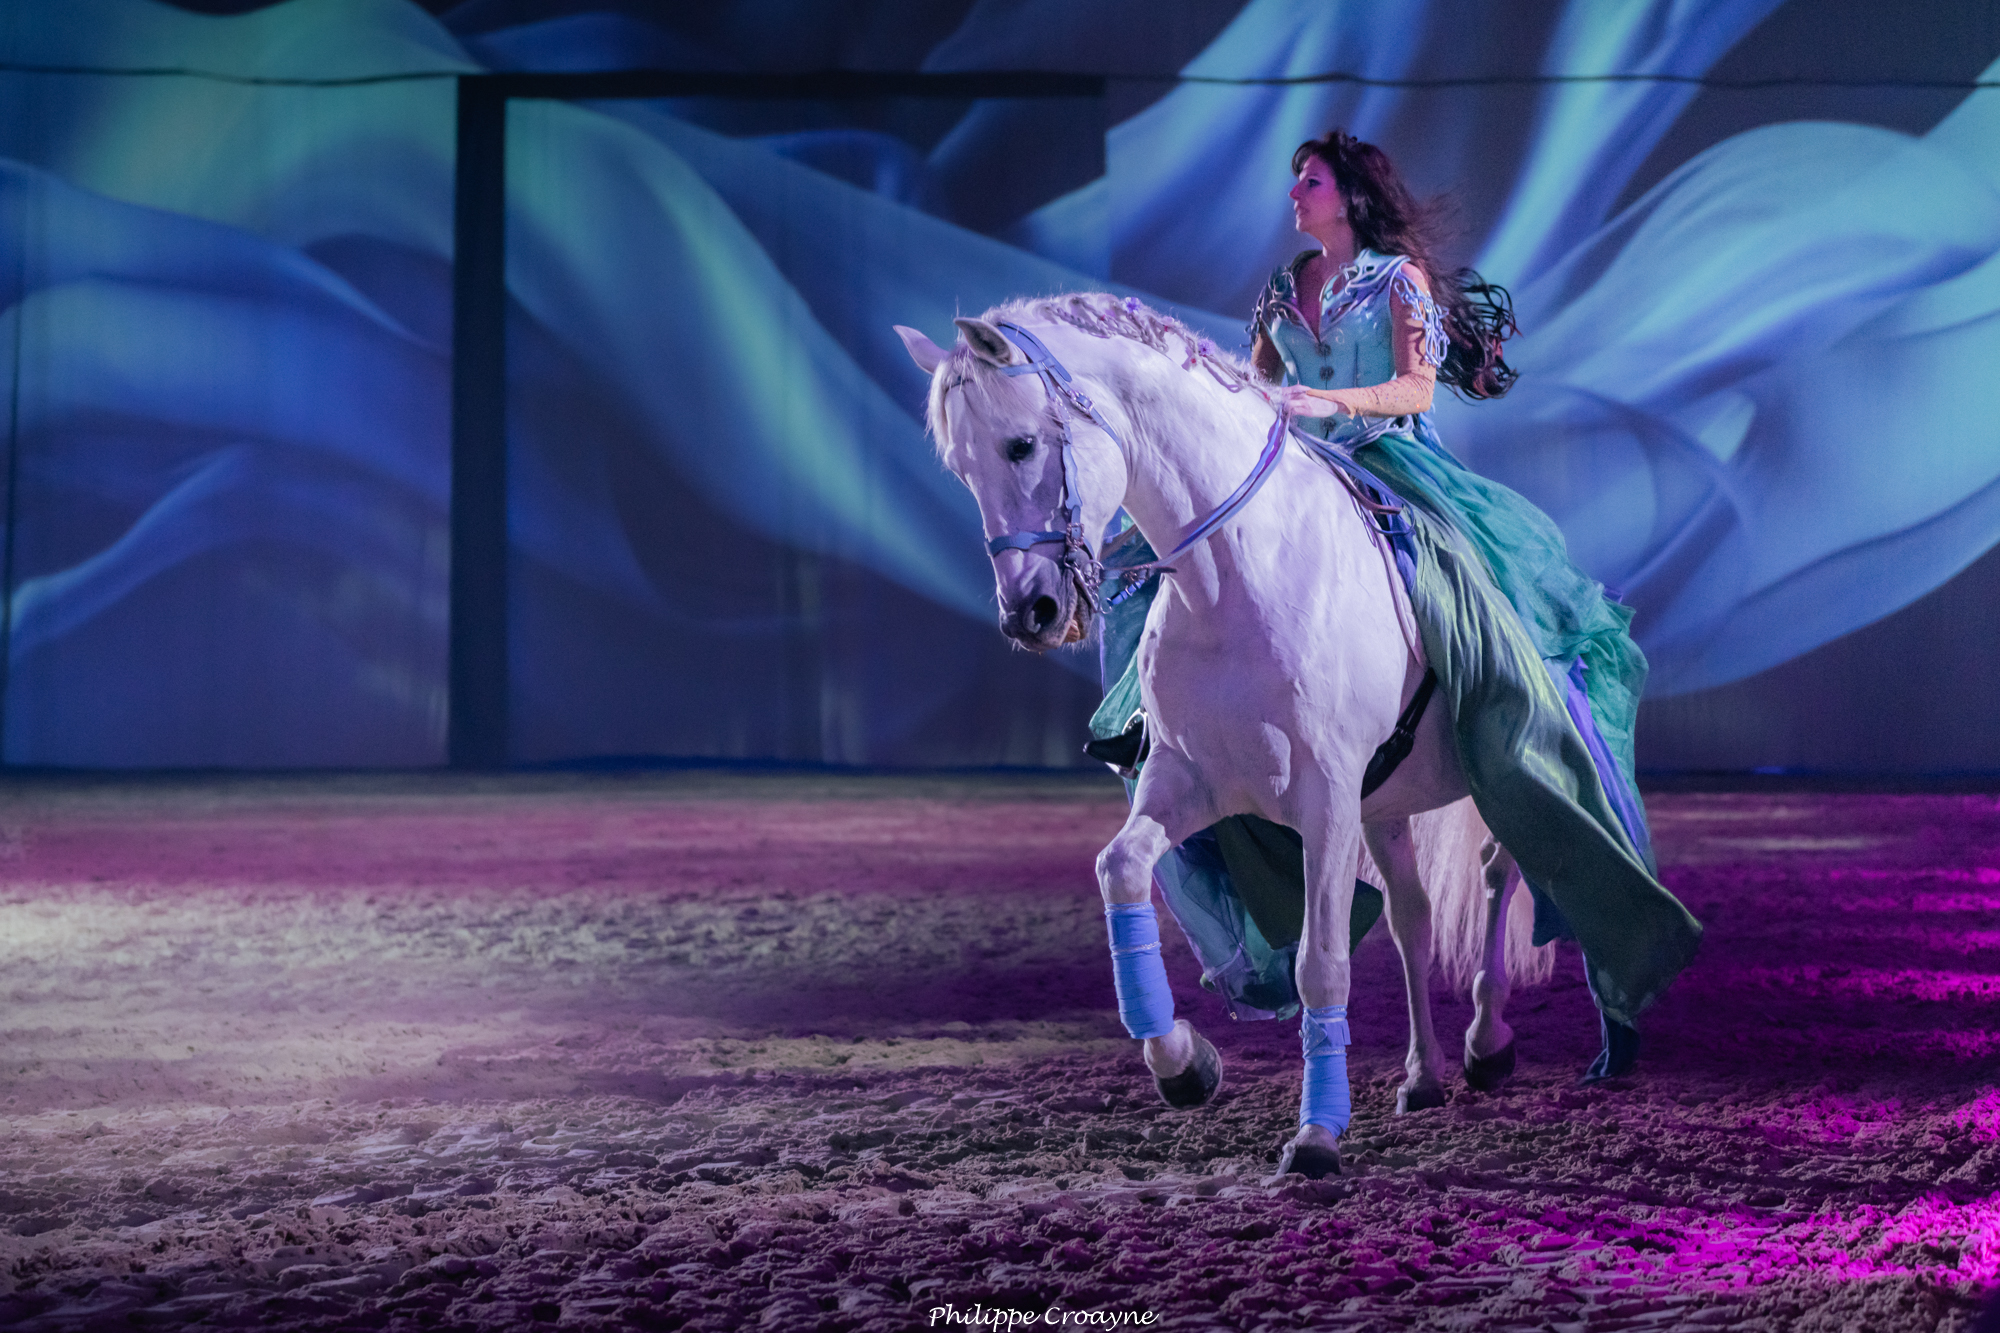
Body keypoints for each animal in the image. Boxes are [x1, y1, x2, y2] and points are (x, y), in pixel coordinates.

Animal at [896, 294, 1558, 1178]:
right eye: (962, 472)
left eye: (1022, 444)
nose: (1028, 613)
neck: (1240, 574)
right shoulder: (1190, 779)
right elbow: (1120, 869)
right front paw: (1183, 1063)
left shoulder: (1326, 800)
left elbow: (1321, 964)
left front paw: (1316, 1136)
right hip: (1386, 805)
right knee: (1414, 918)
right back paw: (1424, 1076)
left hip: (1497, 769)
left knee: (1498, 872)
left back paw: (1488, 1042)